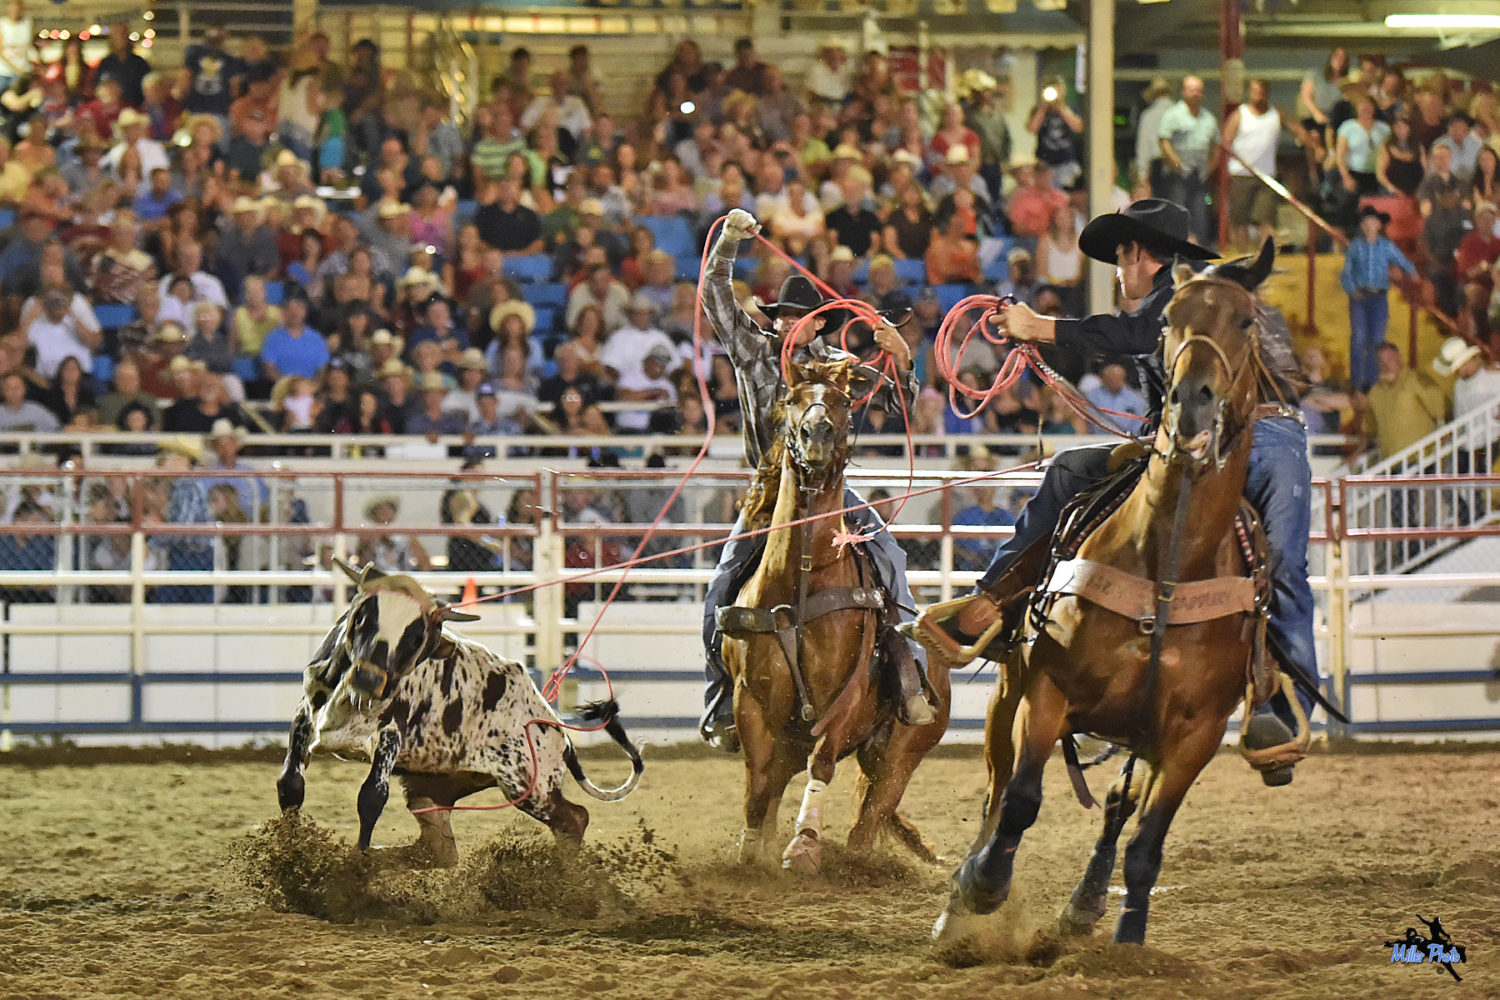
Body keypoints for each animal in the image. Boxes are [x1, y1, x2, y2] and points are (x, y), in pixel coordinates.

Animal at [723, 358, 948, 869]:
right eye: (792, 398)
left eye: (845, 400)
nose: (817, 434)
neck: (801, 580)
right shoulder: (751, 701)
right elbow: (756, 782)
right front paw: (751, 851)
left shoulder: (844, 697)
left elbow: (822, 763)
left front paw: (804, 845)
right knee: (774, 782)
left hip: (900, 756)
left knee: (868, 822)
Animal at [930, 242, 1284, 947]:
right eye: (1169, 320)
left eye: (1245, 321)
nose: (1190, 403)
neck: (1167, 571)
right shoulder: (1047, 691)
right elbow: (1021, 800)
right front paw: (983, 884)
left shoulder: (1196, 737)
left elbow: (1147, 843)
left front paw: (1128, 941)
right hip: (1009, 692)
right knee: (997, 788)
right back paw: (962, 899)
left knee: (1119, 807)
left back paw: (1088, 900)